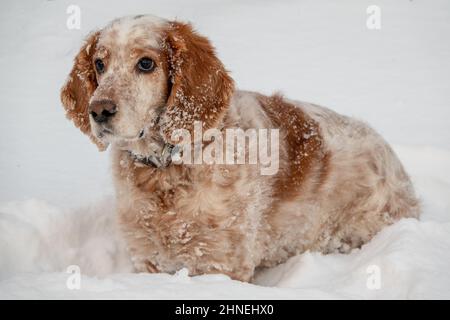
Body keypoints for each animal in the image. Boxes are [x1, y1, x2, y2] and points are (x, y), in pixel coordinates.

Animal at [59, 15, 418, 282]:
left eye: (146, 64)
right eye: (100, 64)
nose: (99, 110)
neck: (169, 169)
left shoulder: (221, 264)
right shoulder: (147, 259)